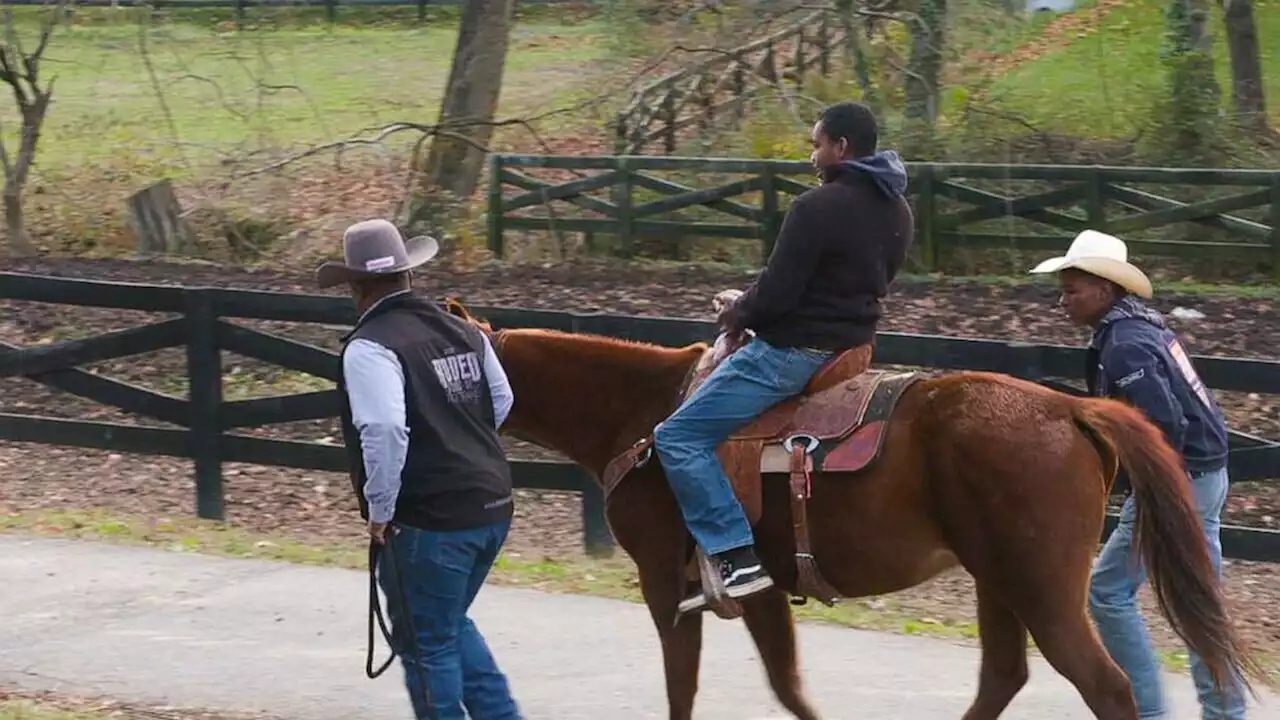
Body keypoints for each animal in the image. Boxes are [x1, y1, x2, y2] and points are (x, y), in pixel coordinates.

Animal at [442, 297, 1269, 717]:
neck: (640, 415)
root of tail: (1071, 410)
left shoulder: (663, 582)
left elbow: (686, 686)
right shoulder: (761, 586)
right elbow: (787, 685)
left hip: (1039, 585)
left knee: (1102, 685)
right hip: (999, 581)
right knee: (1003, 677)